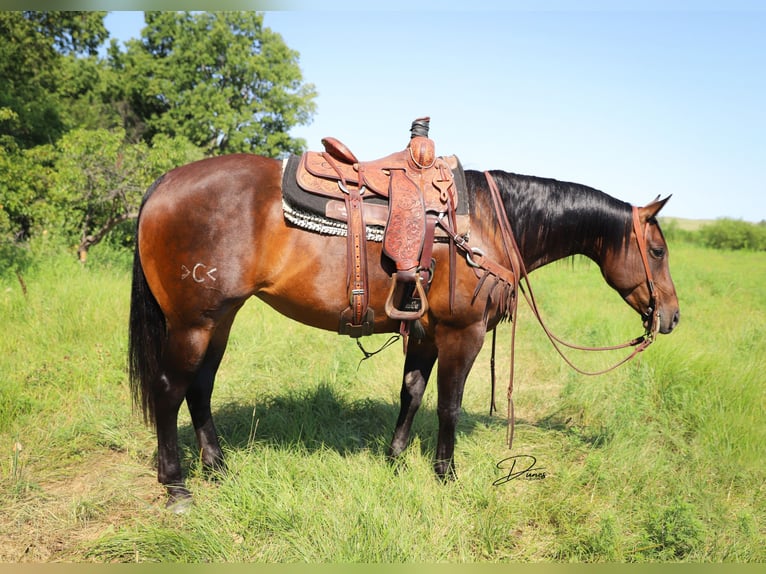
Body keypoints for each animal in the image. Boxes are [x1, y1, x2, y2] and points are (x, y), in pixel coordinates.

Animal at [127, 153, 684, 508]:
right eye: (658, 251)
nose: (672, 316)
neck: (485, 224)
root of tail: (164, 182)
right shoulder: (462, 333)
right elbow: (448, 405)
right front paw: (446, 474)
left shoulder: (425, 334)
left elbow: (411, 394)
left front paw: (395, 460)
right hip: (193, 324)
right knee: (169, 390)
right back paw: (177, 487)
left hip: (218, 321)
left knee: (200, 388)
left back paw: (218, 467)